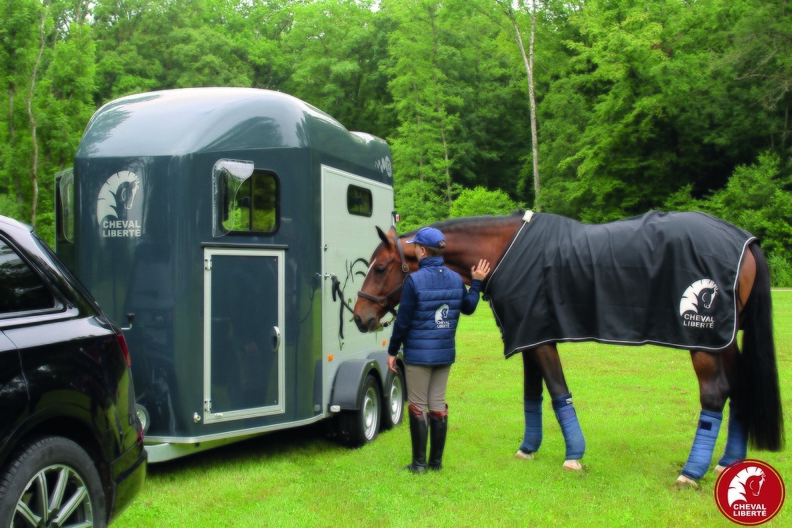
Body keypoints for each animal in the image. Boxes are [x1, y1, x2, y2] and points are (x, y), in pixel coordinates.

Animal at [354, 210, 784, 486]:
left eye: (380, 268)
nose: (359, 317)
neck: (506, 250)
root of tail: (745, 241)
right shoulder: (531, 335)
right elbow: (533, 393)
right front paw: (528, 449)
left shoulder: (540, 338)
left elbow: (558, 391)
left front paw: (573, 456)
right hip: (724, 339)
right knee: (739, 388)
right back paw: (728, 464)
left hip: (705, 343)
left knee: (715, 394)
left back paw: (691, 473)